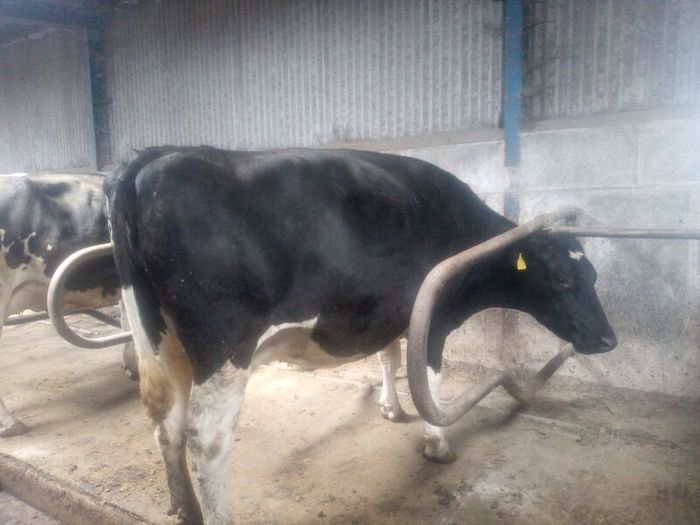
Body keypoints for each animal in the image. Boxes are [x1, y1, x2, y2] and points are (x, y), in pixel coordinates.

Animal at [105, 146, 616, 525]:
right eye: (562, 280)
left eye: (592, 275)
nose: (608, 340)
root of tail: (154, 158)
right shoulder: (435, 314)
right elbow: (430, 377)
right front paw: (437, 442)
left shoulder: (388, 309)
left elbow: (388, 356)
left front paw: (391, 407)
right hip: (224, 346)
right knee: (207, 438)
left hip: (160, 342)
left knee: (167, 422)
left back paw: (183, 507)